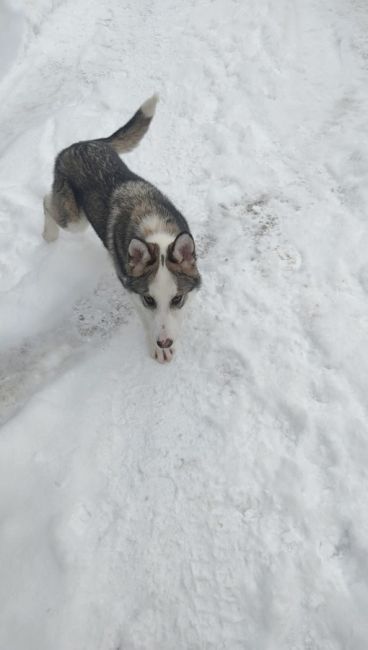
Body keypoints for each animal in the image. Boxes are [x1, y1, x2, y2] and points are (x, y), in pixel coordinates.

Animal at [44, 93, 203, 362]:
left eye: (177, 298)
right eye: (149, 299)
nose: (164, 341)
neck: (154, 231)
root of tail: (83, 143)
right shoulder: (131, 288)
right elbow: (147, 319)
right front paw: (158, 348)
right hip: (74, 219)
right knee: (47, 201)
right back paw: (49, 235)